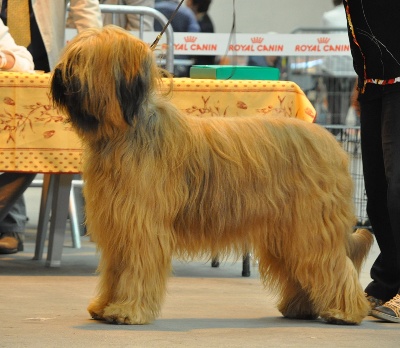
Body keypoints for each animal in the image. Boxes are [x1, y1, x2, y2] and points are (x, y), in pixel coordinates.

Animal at [50, 25, 376, 324]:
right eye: (72, 54)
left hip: (309, 226)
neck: (126, 132)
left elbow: (135, 267)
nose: (58, 76)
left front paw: (126, 311)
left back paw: (345, 312)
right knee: (302, 268)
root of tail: (332, 142)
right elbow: (114, 271)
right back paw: (301, 308)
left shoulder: (140, 225)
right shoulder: (117, 223)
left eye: (83, 58)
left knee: (333, 265)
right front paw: (104, 306)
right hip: (286, 232)